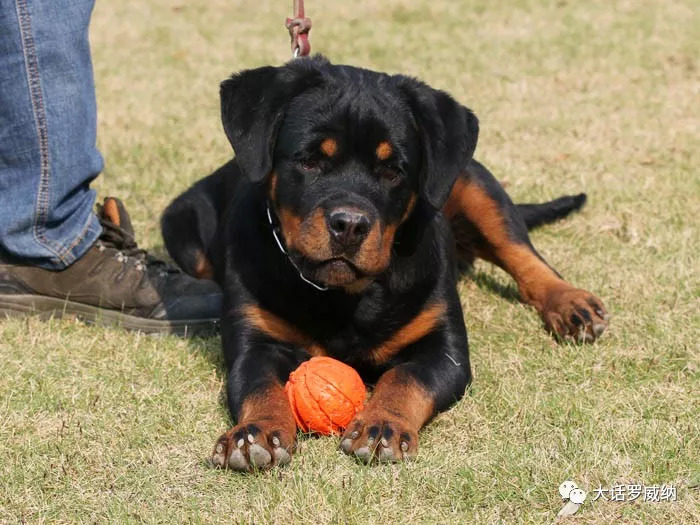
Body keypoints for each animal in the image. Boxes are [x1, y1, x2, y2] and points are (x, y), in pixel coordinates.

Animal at [163, 55, 608, 468]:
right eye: (309, 160)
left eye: (393, 170)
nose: (349, 224)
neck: (343, 296)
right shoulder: (255, 341)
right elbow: (259, 385)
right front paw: (256, 434)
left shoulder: (443, 345)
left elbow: (405, 378)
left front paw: (382, 426)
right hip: (180, 222)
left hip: (474, 183)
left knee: (520, 252)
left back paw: (571, 304)